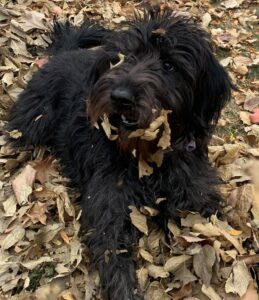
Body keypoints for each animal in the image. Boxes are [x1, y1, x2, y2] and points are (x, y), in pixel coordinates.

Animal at [6, 7, 232, 300]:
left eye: (169, 65)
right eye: (123, 57)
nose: (120, 96)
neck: (149, 157)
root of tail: (65, 52)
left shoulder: (193, 188)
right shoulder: (110, 201)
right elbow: (113, 251)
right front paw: (126, 290)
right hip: (32, 122)